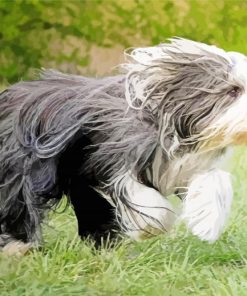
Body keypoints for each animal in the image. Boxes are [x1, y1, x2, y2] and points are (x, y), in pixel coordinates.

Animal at [0, 38, 247, 253]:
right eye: (233, 90)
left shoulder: (186, 167)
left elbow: (215, 179)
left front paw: (207, 223)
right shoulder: (114, 155)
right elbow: (141, 195)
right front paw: (151, 227)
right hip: (23, 166)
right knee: (17, 201)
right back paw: (19, 247)